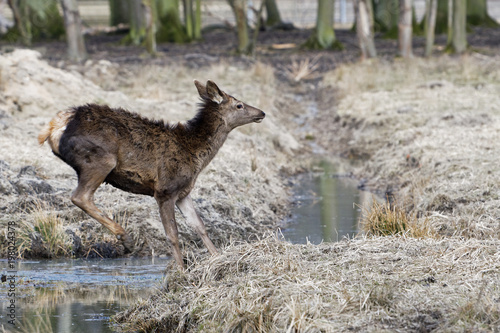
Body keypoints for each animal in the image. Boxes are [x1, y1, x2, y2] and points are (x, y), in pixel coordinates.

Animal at [38, 80, 266, 268]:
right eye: (239, 105)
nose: (262, 113)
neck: (196, 155)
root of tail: (53, 127)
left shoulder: (183, 193)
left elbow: (200, 226)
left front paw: (218, 258)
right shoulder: (165, 189)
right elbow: (172, 234)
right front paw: (181, 271)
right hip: (100, 159)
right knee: (80, 196)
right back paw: (126, 238)